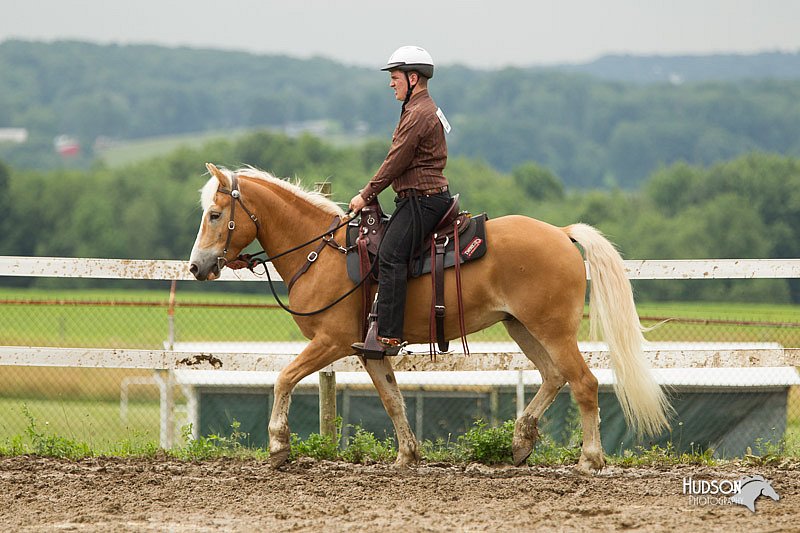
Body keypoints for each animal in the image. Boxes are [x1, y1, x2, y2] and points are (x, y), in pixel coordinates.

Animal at [191, 163, 672, 474]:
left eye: (215, 215)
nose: (197, 267)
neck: (322, 252)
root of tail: (561, 233)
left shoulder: (330, 341)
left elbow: (284, 377)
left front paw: (278, 445)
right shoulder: (368, 349)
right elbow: (392, 399)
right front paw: (407, 455)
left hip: (552, 329)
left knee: (584, 383)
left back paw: (589, 459)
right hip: (521, 326)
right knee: (554, 377)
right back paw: (520, 443)